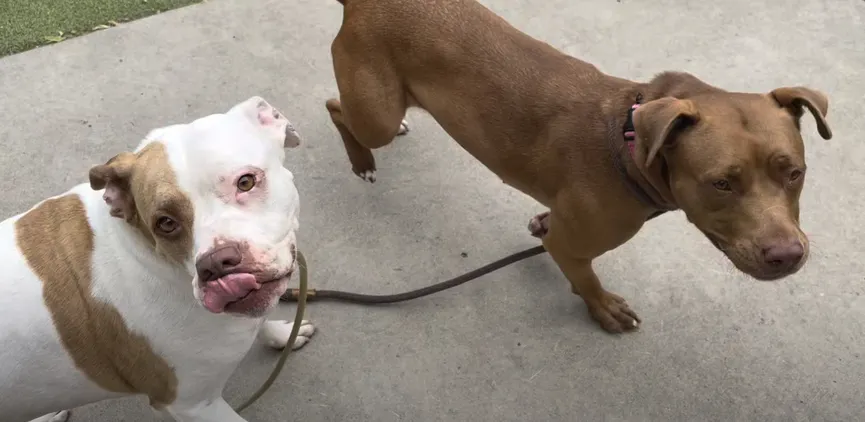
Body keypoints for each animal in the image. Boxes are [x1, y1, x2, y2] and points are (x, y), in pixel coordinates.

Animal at [322, 0, 832, 332]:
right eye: (721, 183)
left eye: (795, 173)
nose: (788, 255)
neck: (629, 147)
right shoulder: (569, 246)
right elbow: (584, 277)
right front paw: (603, 307)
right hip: (375, 114)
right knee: (336, 107)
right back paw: (362, 161)